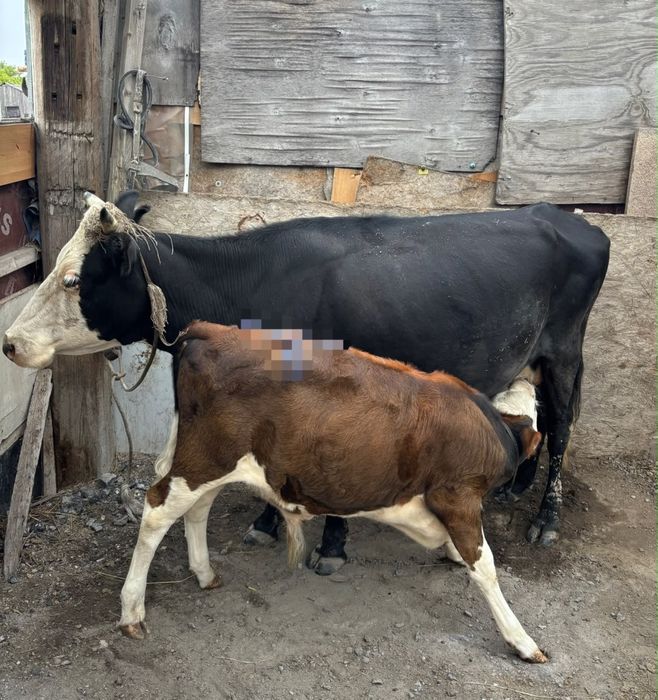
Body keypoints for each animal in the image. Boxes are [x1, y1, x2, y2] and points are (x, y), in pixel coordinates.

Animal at [2, 192, 610, 571]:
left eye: (73, 279)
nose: (10, 341)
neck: (251, 285)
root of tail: (571, 218)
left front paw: (331, 545)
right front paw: (268, 522)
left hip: (564, 351)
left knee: (561, 425)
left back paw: (546, 519)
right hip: (532, 356)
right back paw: (513, 487)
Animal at [118, 321, 547, 662]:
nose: (529, 377)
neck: (495, 427)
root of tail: (209, 329)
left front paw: (454, 554)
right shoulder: (458, 495)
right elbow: (485, 566)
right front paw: (522, 640)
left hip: (209, 463)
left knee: (197, 509)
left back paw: (205, 573)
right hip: (205, 460)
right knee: (156, 511)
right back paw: (132, 610)